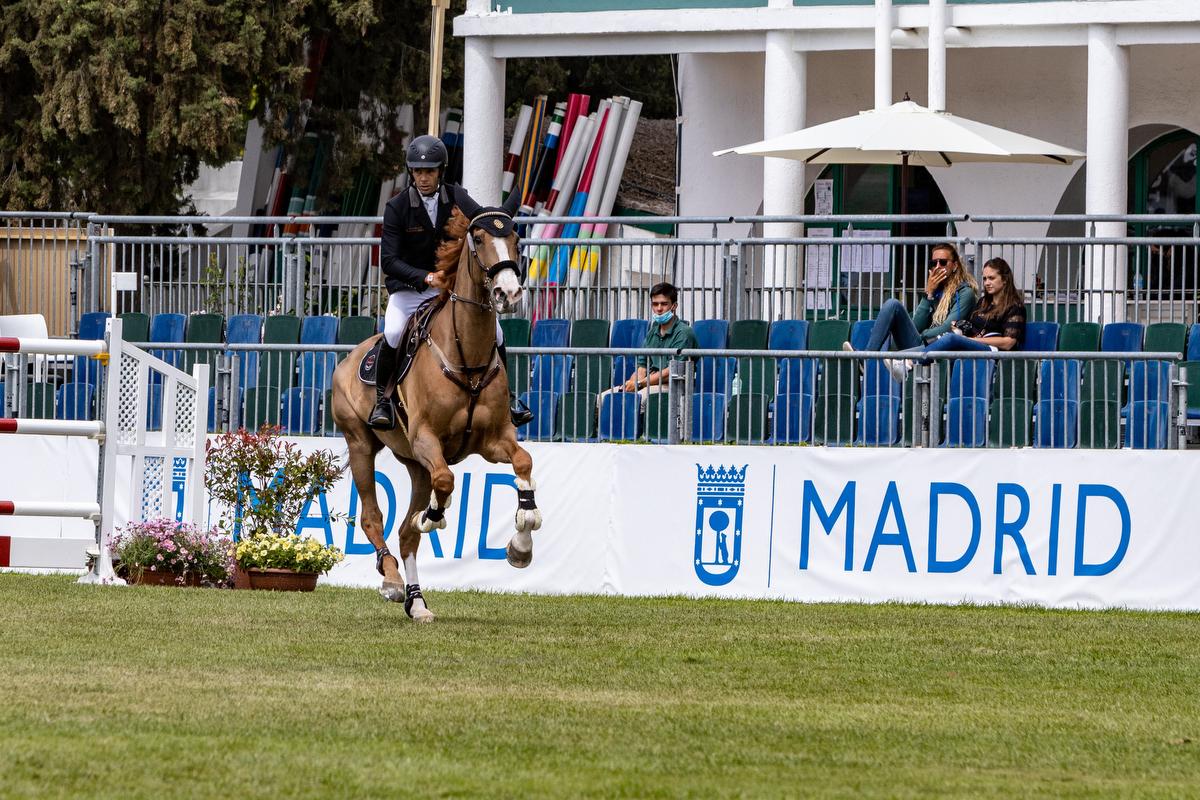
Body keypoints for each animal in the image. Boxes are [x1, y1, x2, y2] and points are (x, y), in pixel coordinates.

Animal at [333, 190, 549, 623]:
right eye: (479, 239)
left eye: (516, 238)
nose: (507, 293)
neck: (466, 353)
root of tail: (349, 359)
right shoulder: (426, 440)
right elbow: (447, 482)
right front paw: (434, 515)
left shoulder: (493, 440)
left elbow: (523, 462)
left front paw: (521, 543)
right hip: (362, 445)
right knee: (374, 518)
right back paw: (392, 580)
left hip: (415, 466)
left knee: (406, 534)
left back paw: (417, 603)